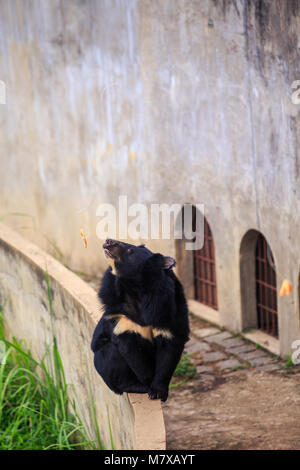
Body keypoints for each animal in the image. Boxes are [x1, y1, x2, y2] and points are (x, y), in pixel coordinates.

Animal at [91, 239, 190, 400]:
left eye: (130, 250)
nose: (108, 241)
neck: (136, 291)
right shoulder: (121, 317)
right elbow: (132, 352)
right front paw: (147, 384)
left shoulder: (169, 312)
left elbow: (169, 351)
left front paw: (158, 392)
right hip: (102, 361)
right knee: (110, 355)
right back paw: (136, 386)